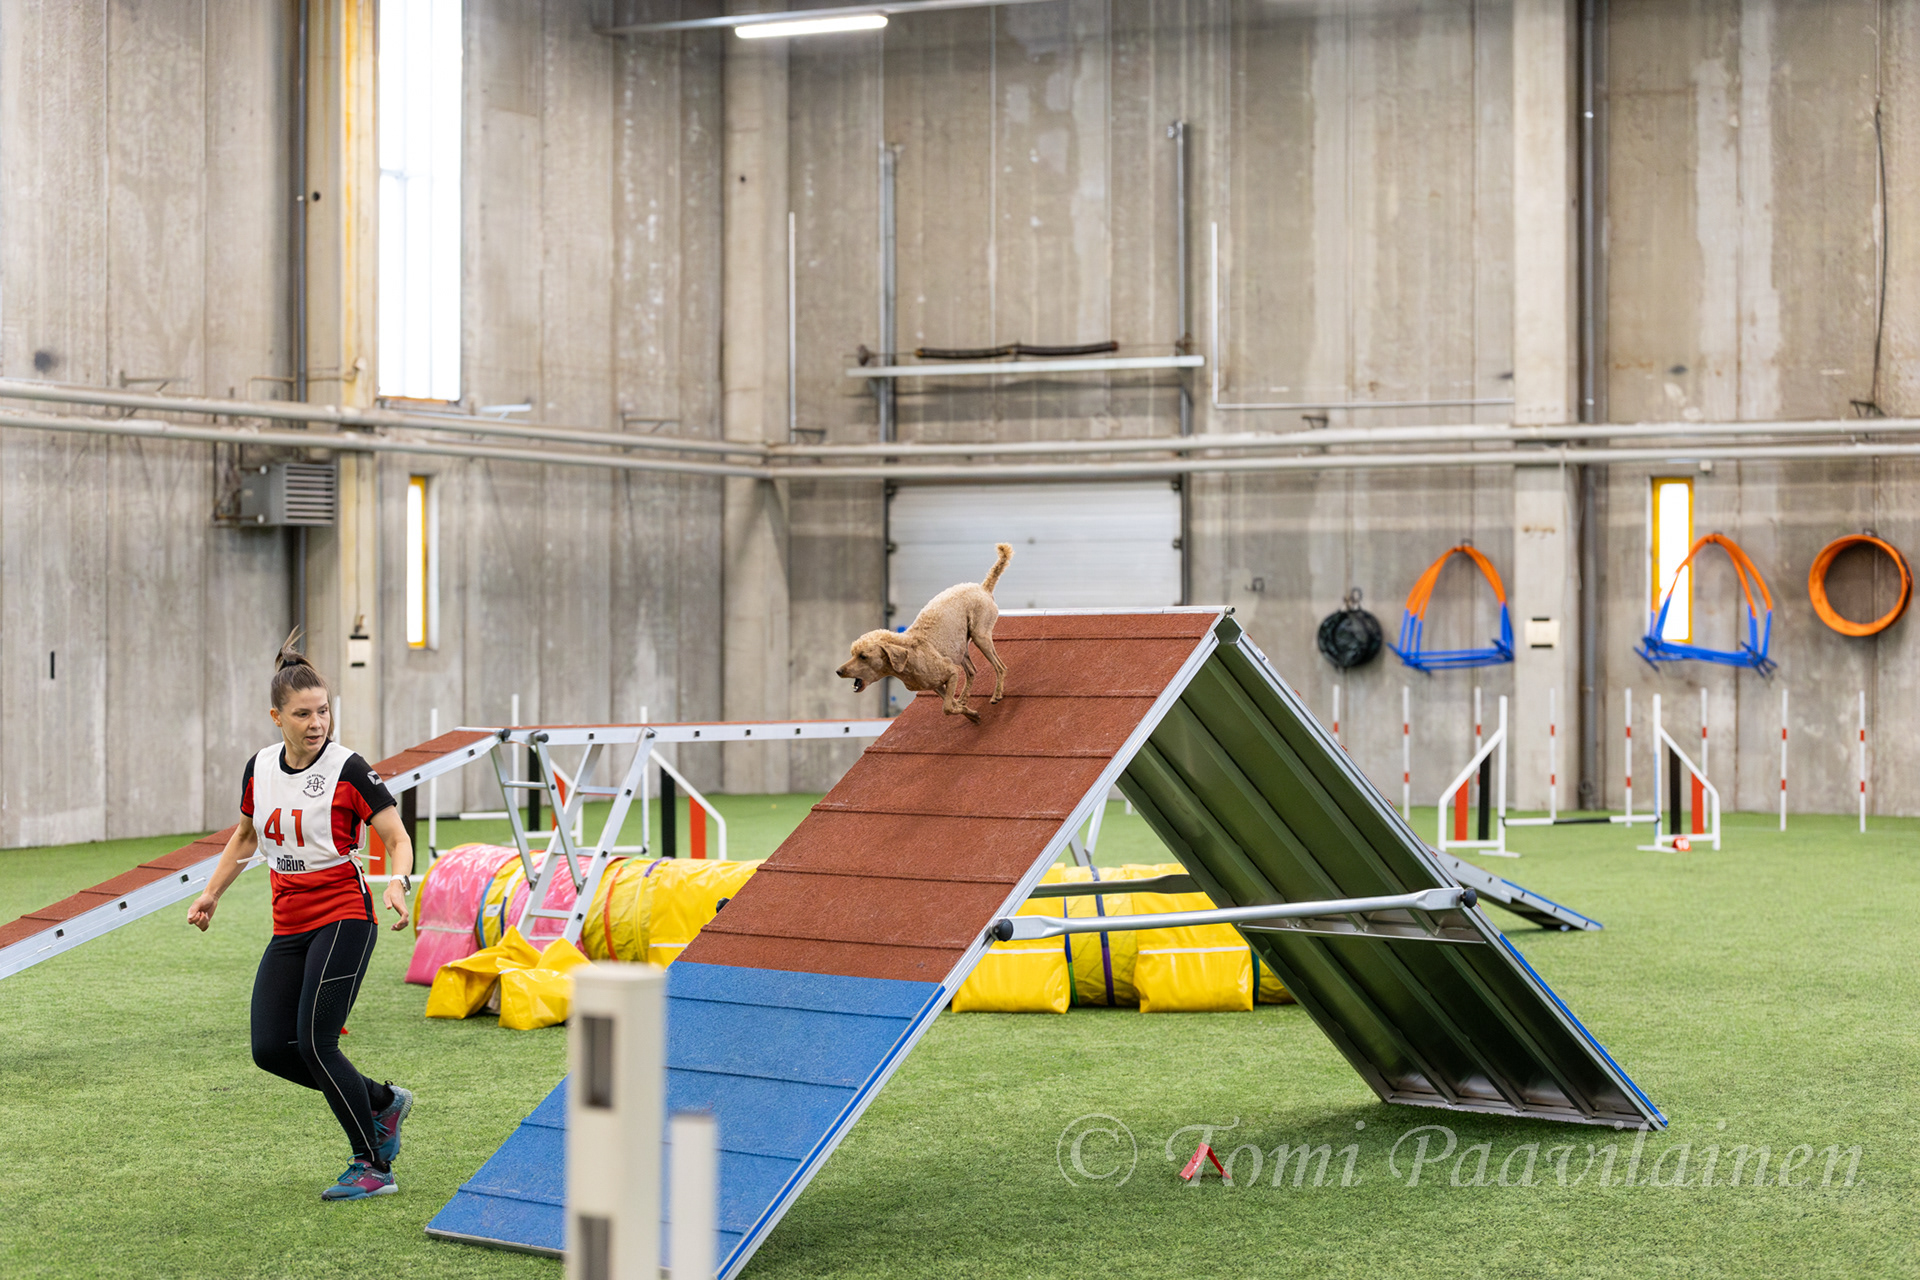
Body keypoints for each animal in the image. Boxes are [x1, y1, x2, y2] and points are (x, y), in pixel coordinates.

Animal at [837, 543, 1011, 723]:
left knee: (1000, 667)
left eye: (863, 656)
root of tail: (983, 587)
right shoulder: (937, 685)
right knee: (972, 671)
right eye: (852, 654)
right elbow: (952, 705)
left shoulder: (951, 672)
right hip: (961, 647)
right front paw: (969, 713)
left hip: (980, 636)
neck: (909, 659)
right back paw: (965, 698)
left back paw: (997, 695)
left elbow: (947, 708)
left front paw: (969, 712)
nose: (838, 671)